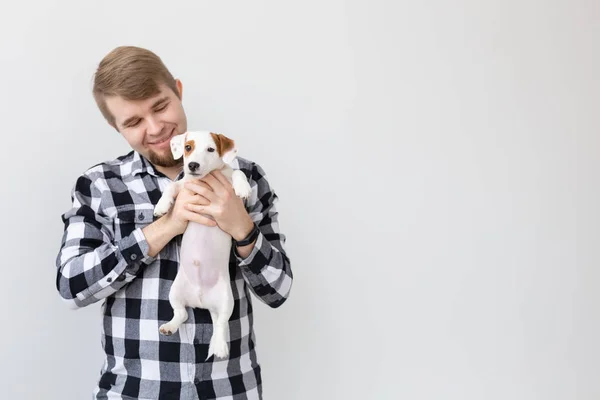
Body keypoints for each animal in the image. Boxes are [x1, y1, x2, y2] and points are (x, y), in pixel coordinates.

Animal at [154, 130, 252, 360]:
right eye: (188, 147)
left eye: (210, 149)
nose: (192, 165)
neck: (205, 178)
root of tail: (202, 302)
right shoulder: (184, 186)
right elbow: (171, 185)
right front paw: (162, 206)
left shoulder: (228, 180)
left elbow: (238, 173)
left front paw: (243, 188)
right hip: (175, 292)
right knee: (181, 314)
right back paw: (169, 326)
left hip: (226, 301)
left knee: (221, 324)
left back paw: (220, 347)